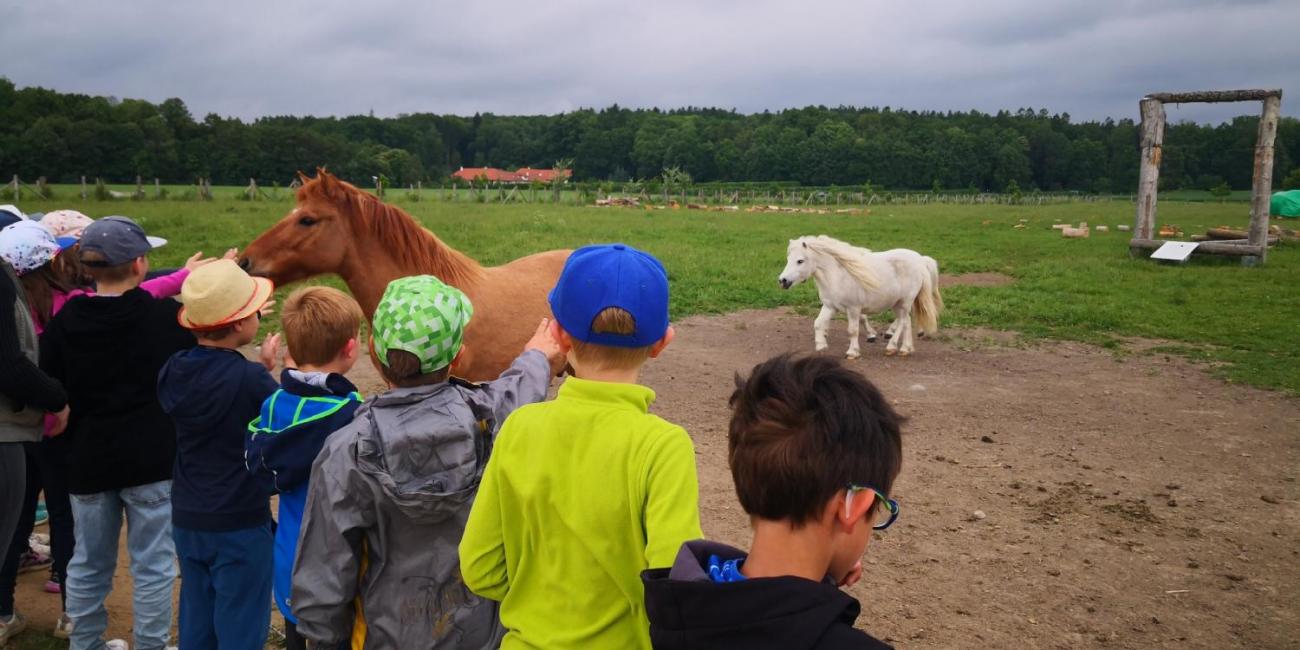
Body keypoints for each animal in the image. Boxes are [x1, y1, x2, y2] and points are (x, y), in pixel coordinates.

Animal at [774, 236, 941, 358]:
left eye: (800, 261)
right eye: (788, 259)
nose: (783, 281)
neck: (838, 275)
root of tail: (920, 260)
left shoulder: (853, 308)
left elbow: (853, 330)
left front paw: (853, 352)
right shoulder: (830, 306)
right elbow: (818, 323)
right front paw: (821, 346)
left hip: (904, 302)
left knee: (904, 322)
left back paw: (895, 347)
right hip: (898, 303)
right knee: (906, 322)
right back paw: (904, 348)